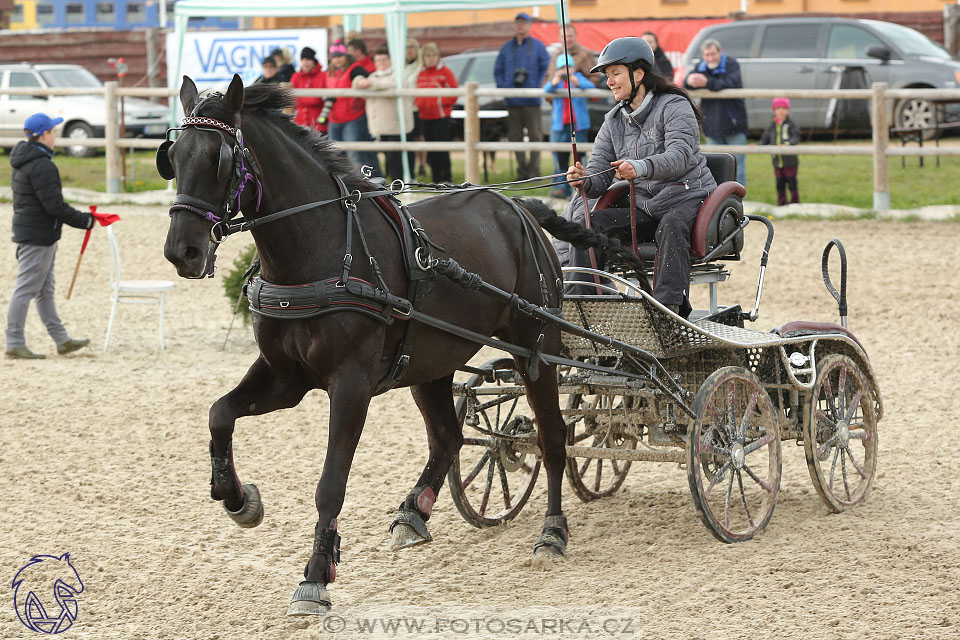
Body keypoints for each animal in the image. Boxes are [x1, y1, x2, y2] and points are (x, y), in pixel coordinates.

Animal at [163, 77, 576, 616]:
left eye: (219, 160)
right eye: (172, 157)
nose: (182, 251)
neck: (320, 251)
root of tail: (517, 209)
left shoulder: (351, 384)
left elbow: (330, 483)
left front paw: (316, 575)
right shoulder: (284, 377)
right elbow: (219, 414)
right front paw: (238, 499)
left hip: (535, 350)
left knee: (552, 436)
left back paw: (551, 533)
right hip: (430, 362)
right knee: (448, 437)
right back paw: (414, 512)